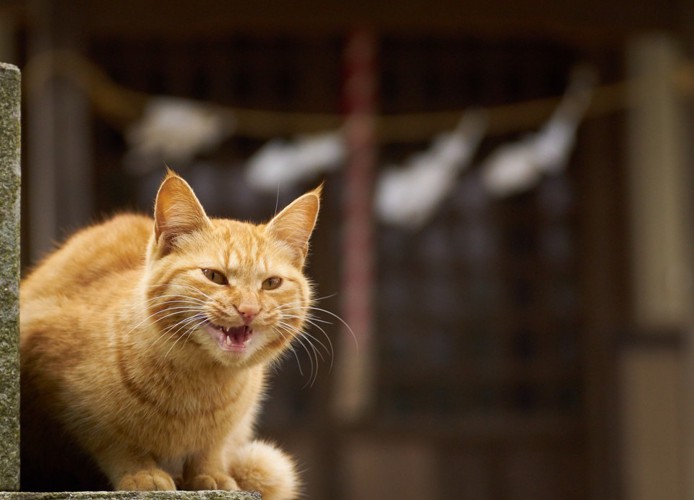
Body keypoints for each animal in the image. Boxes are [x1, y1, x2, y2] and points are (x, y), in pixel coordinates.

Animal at [18, 170, 318, 498]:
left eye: (271, 283)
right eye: (214, 276)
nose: (248, 309)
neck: (198, 388)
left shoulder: (230, 429)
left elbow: (211, 448)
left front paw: (210, 474)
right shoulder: (61, 388)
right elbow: (116, 441)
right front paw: (142, 472)